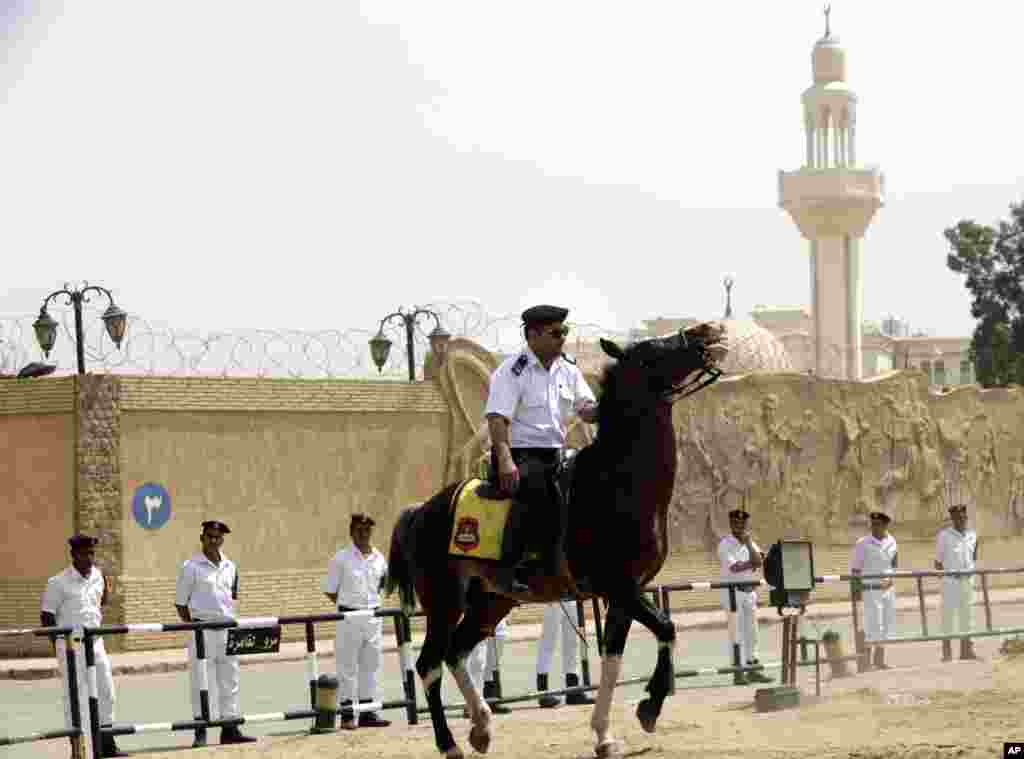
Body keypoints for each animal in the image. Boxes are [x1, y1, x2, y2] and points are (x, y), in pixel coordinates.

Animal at [385, 321, 729, 757]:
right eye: (656, 348)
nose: (707, 330)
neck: (619, 481)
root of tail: (420, 510)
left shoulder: (627, 592)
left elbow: (613, 658)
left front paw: (604, 734)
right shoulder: (619, 586)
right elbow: (667, 628)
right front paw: (650, 704)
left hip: (491, 600)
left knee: (455, 651)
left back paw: (481, 725)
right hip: (445, 600)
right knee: (428, 663)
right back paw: (450, 744)